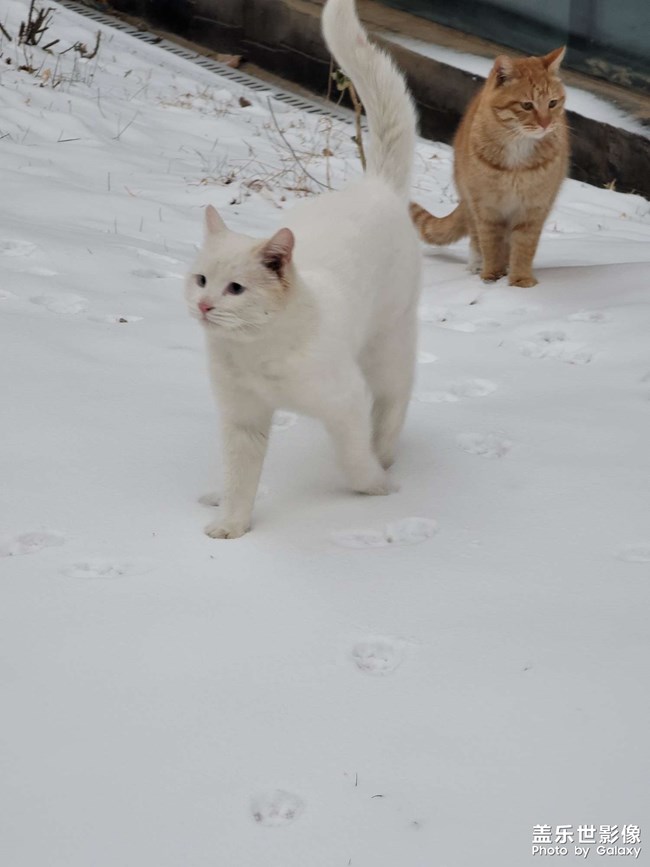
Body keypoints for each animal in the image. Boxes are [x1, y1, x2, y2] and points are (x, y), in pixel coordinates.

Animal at [185, 0, 418, 540]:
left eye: (235, 288)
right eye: (201, 280)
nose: (204, 304)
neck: (256, 354)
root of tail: (376, 185)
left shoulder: (345, 401)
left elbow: (354, 460)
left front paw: (375, 490)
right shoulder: (242, 420)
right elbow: (240, 478)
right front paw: (230, 527)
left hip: (387, 347)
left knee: (395, 400)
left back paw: (387, 457)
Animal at [410, 48, 568, 288]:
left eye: (552, 103)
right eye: (527, 105)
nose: (546, 124)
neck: (518, 149)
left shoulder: (533, 208)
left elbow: (524, 247)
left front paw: (520, 280)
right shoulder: (486, 207)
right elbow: (490, 244)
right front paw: (492, 275)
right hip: (470, 199)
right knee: (477, 240)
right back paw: (478, 266)